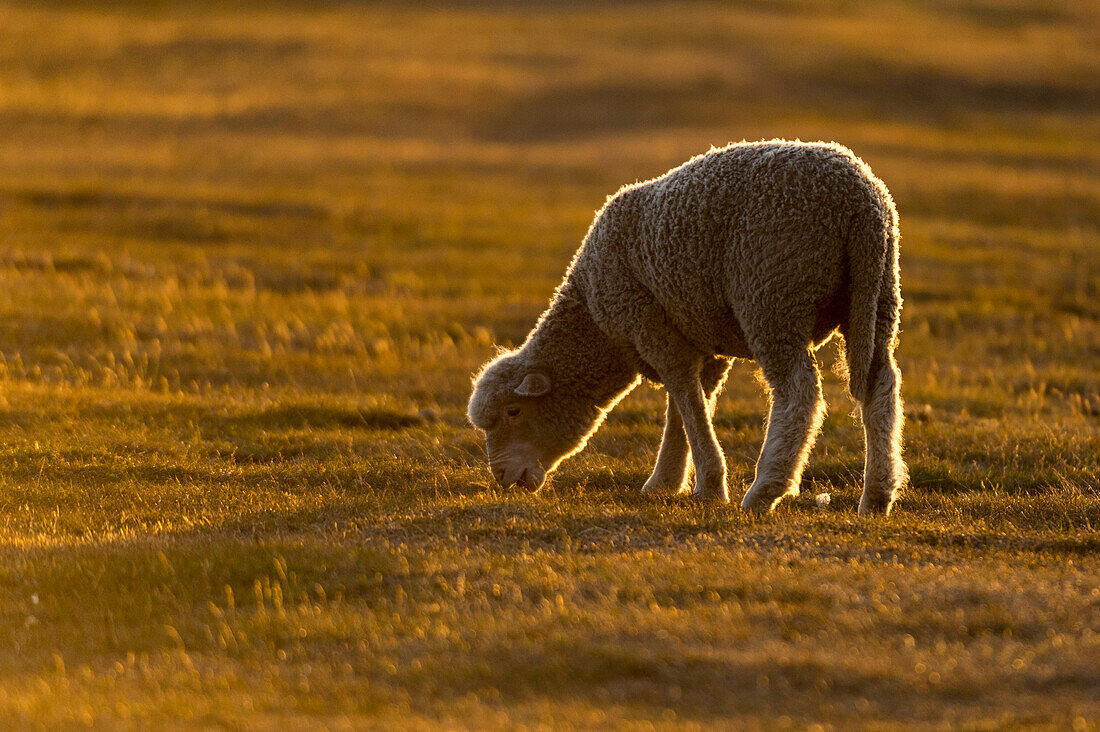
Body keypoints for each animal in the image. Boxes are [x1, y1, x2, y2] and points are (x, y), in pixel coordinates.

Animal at [468, 139, 906, 517]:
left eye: (513, 411)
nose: (502, 478)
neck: (596, 325)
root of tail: (860, 204)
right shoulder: (700, 337)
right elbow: (690, 403)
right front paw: (667, 480)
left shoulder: (648, 323)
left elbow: (684, 395)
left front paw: (708, 484)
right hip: (876, 297)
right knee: (880, 385)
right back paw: (877, 495)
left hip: (772, 295)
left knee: (799, 392)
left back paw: (765, 490)